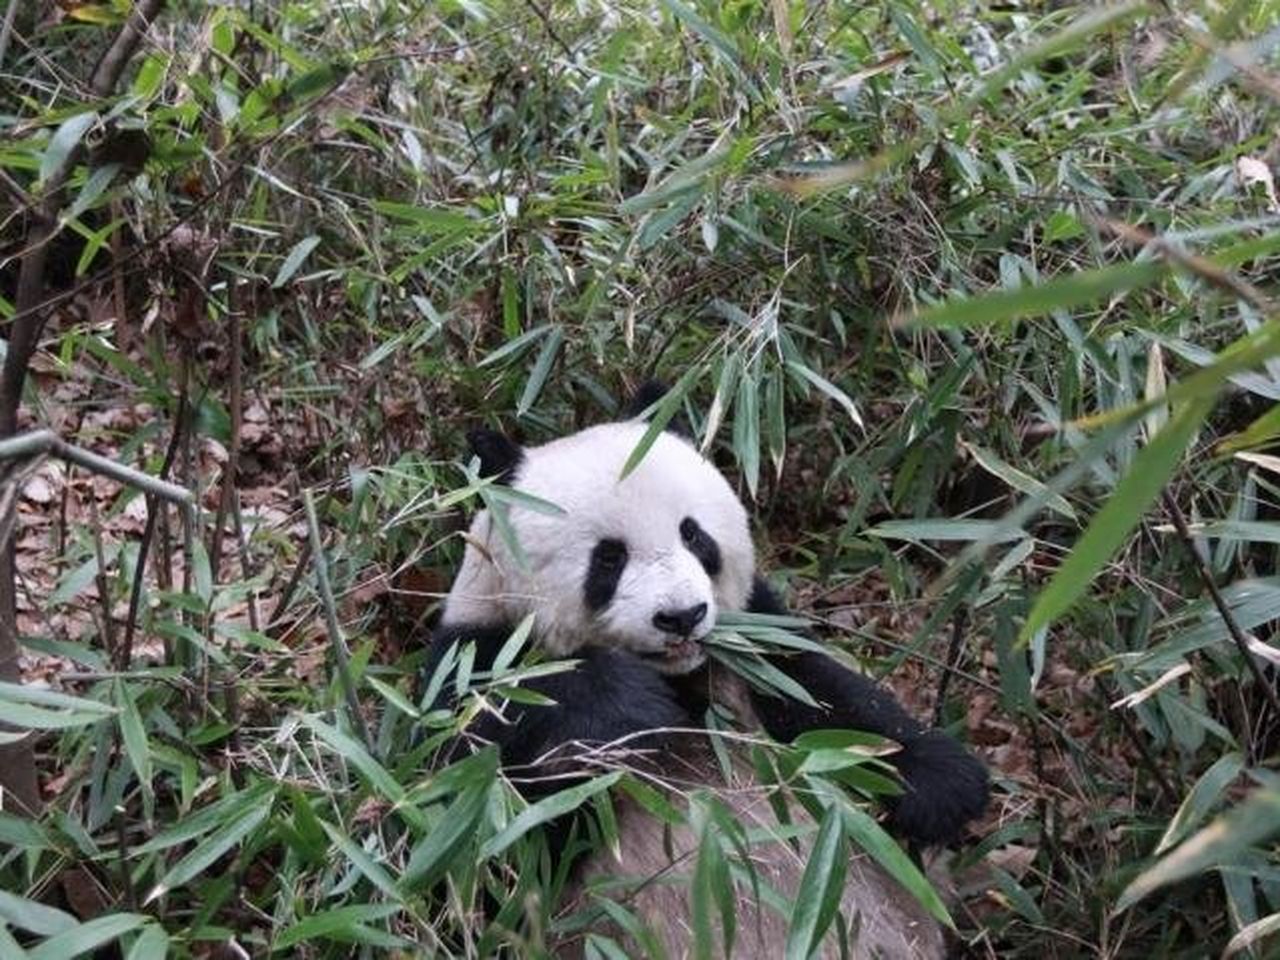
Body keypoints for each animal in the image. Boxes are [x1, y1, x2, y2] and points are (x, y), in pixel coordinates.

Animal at [424, 387, 989, 958]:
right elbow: (481, 827)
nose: (682, 616)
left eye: (693, 535)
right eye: (609, 558)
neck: (682, 676)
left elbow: (828, 700)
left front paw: (941, 786)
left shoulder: (756, 640)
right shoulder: (474, 662)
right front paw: (631, 708)